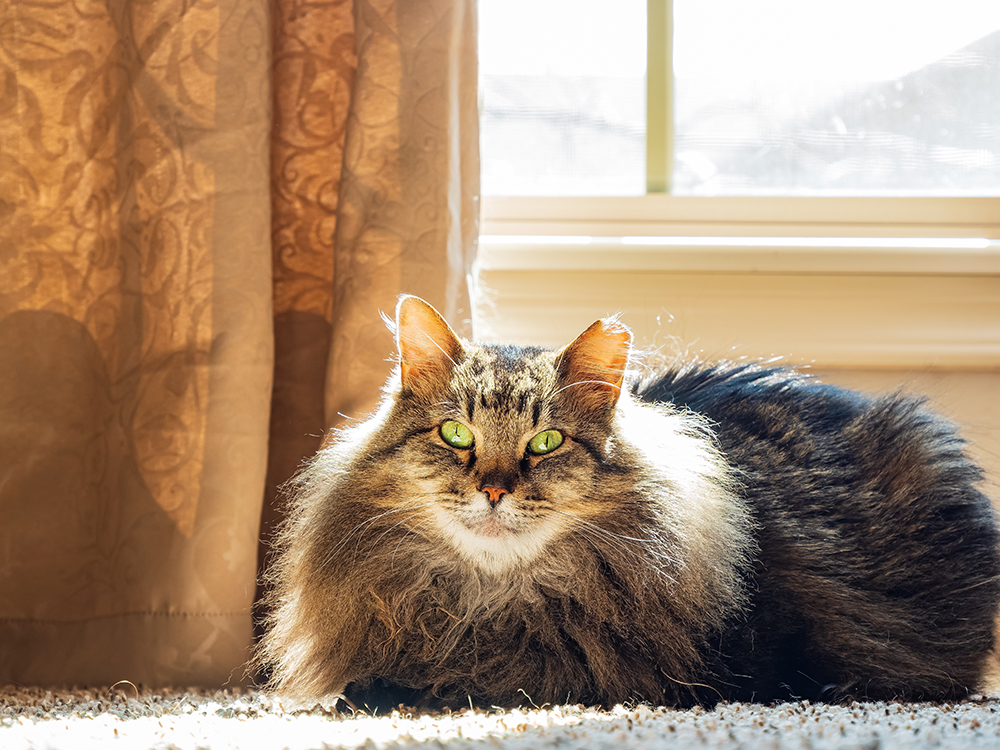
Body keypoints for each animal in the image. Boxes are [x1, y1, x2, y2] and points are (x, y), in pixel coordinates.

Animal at [258, 296, 1000, 712]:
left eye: (547, 442)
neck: (489, 604)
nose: (494, 490)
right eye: (456, 436)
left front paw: (409, 693)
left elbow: (504, 680)